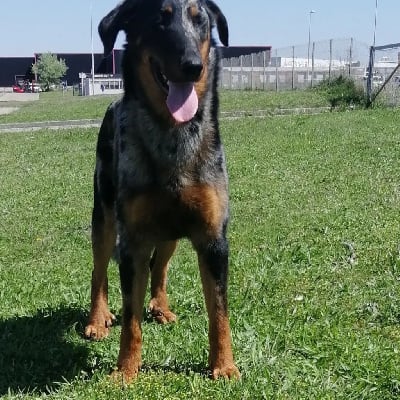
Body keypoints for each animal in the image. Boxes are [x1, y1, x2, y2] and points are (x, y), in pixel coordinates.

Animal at [84, 0, 239, 382]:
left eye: (201, 21)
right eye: (159, 20)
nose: (193, 66)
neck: (173, 136)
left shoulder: (213, 240)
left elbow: (219, 311)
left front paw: (224, 365)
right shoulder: (133, 240)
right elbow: (130, 318)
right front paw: (126, 371)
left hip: (169, 231)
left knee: (160, 267)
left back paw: (161, 306)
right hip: (104, 216)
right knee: (99, 269)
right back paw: (97, 319)